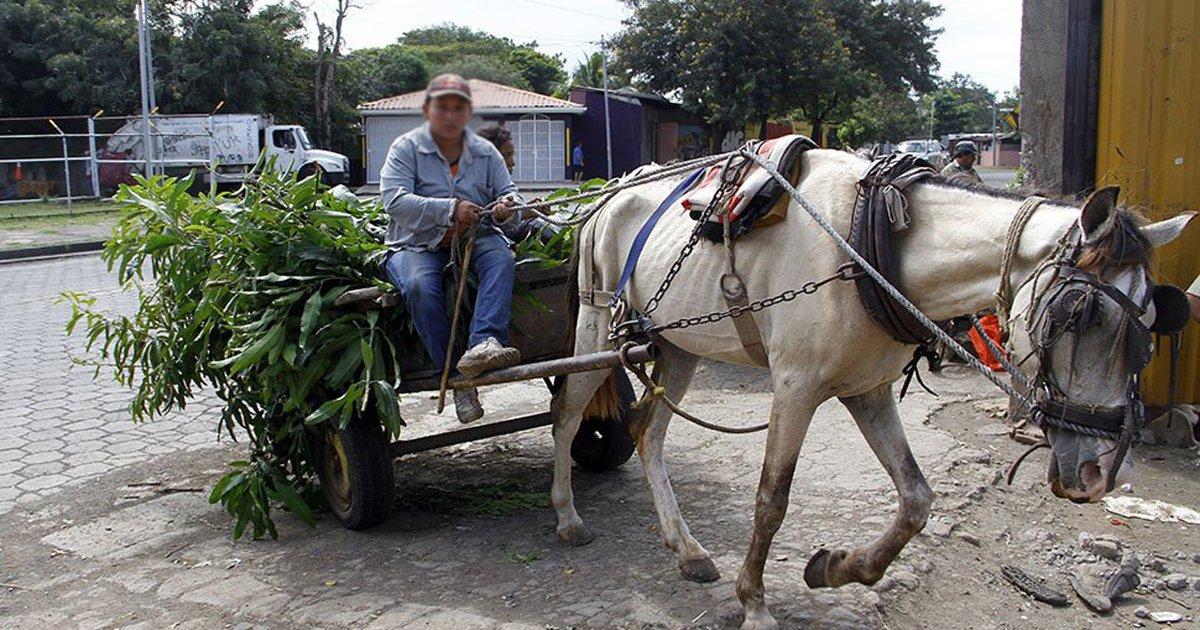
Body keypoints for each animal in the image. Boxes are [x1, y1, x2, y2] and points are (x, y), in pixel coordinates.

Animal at [549, 148, 1195, 628]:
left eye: (1150, 323)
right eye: (1077, 313)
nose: (1099, 473)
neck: (871, 244)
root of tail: (610, 192)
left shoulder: (868, 388)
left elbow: (916, 500)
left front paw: (836, 568)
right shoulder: (795, 387)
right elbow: (771, 500)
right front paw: (755, 602)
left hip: (680, 346)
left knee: (647, 432)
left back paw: (687, 550)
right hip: (595, 323)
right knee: (567, 415)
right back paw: (568, 518)